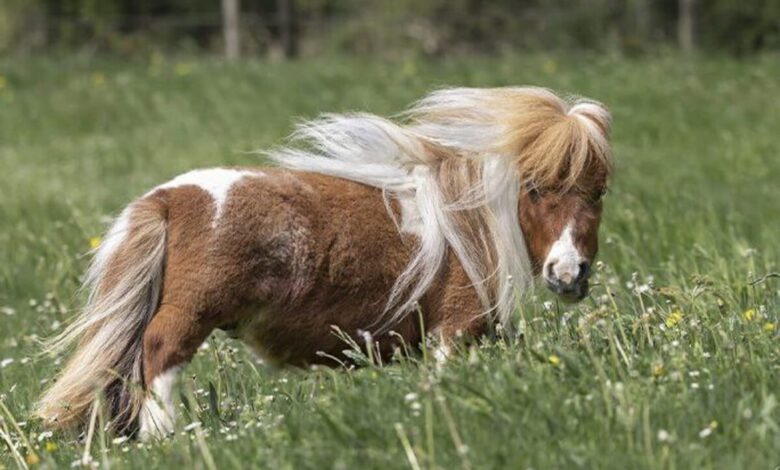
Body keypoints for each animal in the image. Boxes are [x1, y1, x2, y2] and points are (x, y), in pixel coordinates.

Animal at [36, 87, 612, 440]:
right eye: (534, 188)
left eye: (599, 192)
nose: (569, 273)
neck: (465, 226)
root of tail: (168, 199)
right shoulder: (453, 332)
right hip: (188, 317)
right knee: (158, 358)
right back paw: (169, 439)